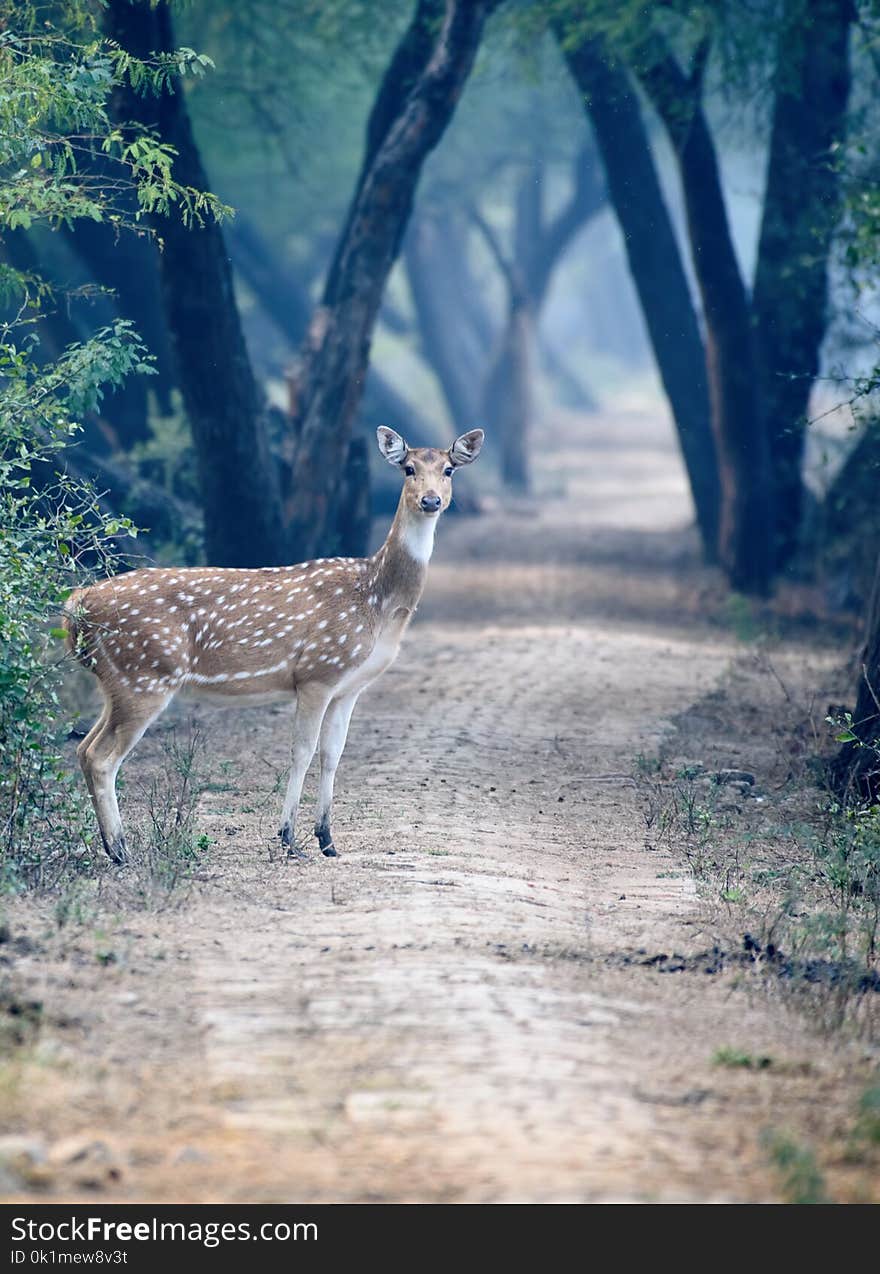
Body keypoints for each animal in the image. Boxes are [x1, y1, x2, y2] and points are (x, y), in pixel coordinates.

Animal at [65, 428, 486, 866]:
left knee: (84, 748)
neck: (377, 602)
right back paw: (121, 851)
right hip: (145, 674)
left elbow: (333, 754)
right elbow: (302, 751)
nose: (431, 500)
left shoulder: (349, 687)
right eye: (408, 468)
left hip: (118, 682)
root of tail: (75, 605)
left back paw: (112, 846)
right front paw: (288, 838)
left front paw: (328, 841)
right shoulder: (317, 672)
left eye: (449, 469)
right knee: (101, 757)